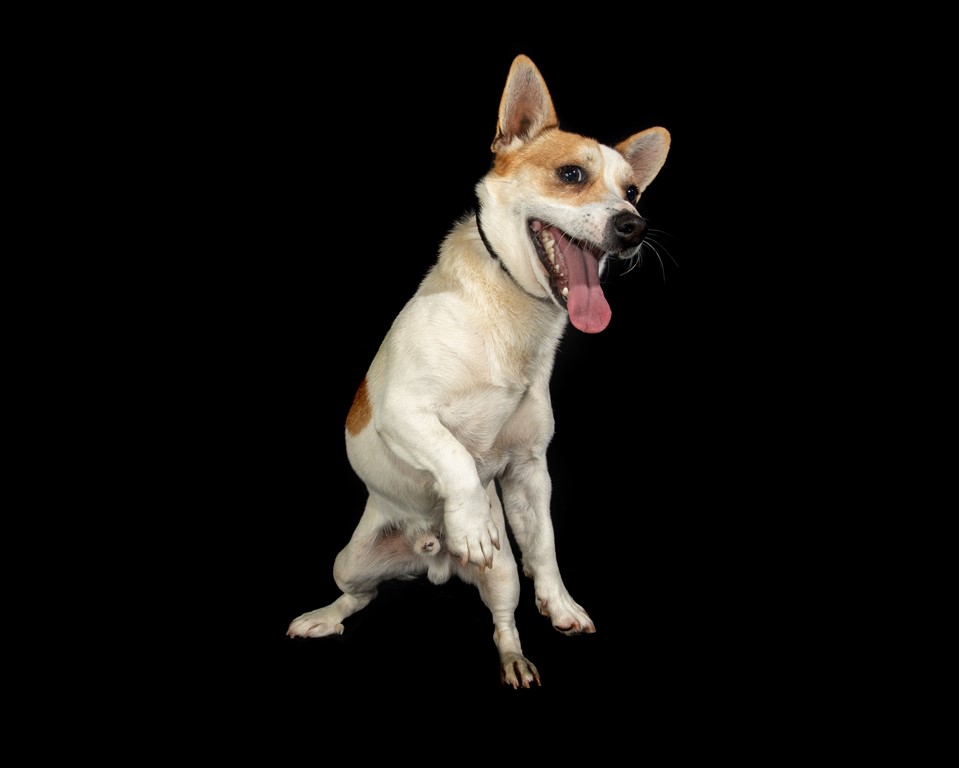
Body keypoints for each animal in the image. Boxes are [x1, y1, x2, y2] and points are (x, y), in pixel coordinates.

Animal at [287, 54, 670, 688]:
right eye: (571, 174)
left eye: (634, 191)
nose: (634, 226)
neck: (510, 315)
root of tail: (432, 557)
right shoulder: (404, 413)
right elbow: (457, 459)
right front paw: (468, 523)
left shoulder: (529, 472)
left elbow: (545, 547)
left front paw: (560, 603)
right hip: (348, 561)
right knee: (357, 595)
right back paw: (324, 617)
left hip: (500, 575)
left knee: (503, 615)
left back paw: (514, 658)